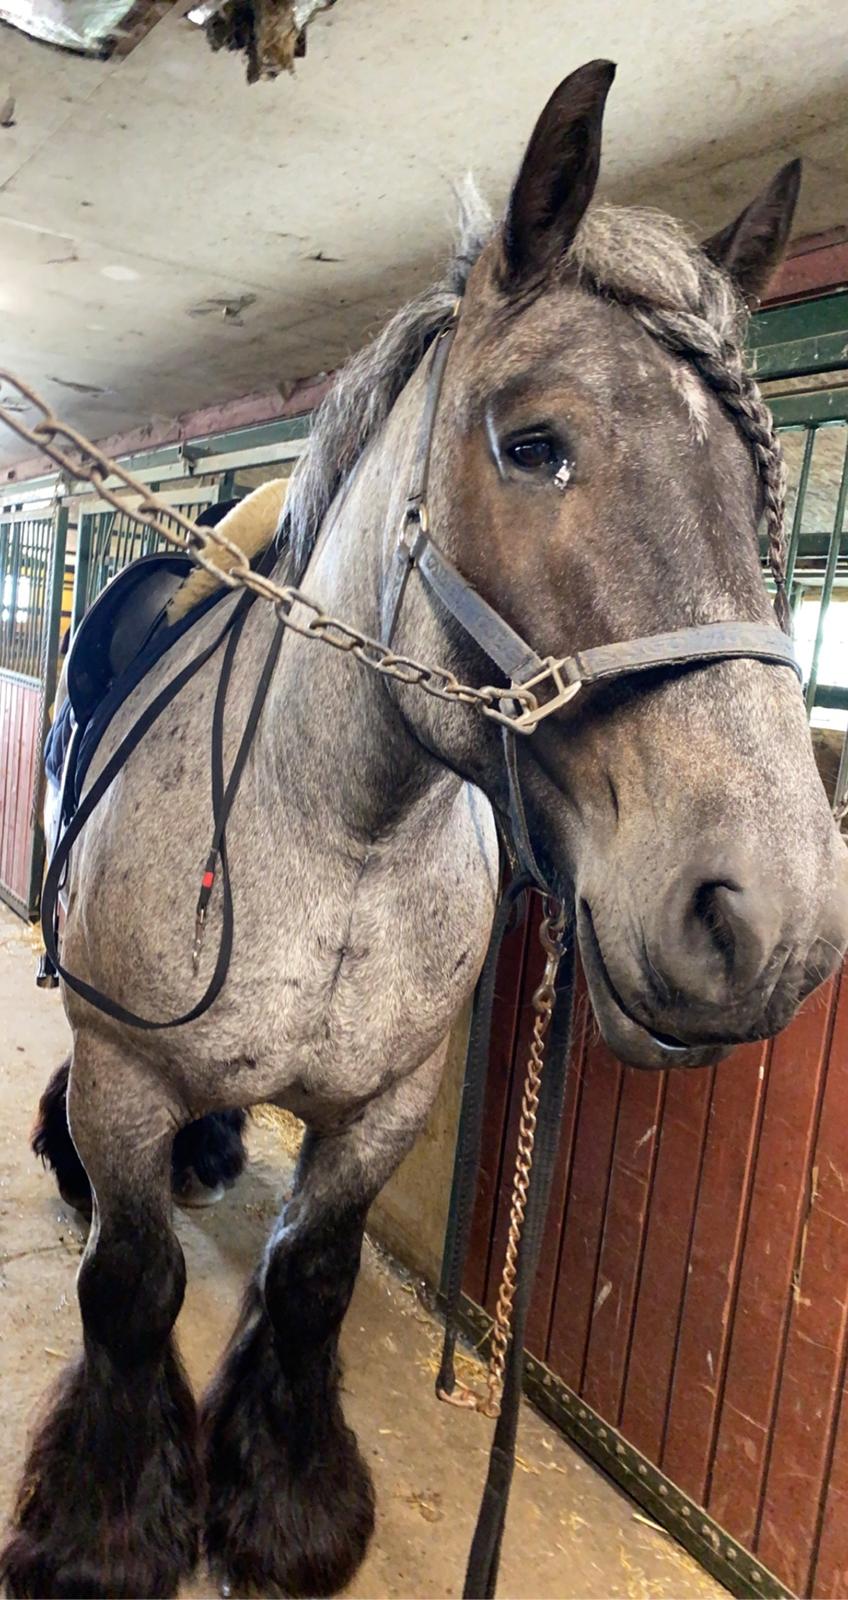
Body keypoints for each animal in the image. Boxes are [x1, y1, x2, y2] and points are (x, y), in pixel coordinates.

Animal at [1, 59, 844, 1600]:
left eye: (762, 493)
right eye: (531, 445)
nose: (774, 922)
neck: (341, 844)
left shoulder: (387, 1104)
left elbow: (311, 1278)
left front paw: (286, 1511)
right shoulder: (129, 1073)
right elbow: (131, 1286)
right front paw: (107, 1532)